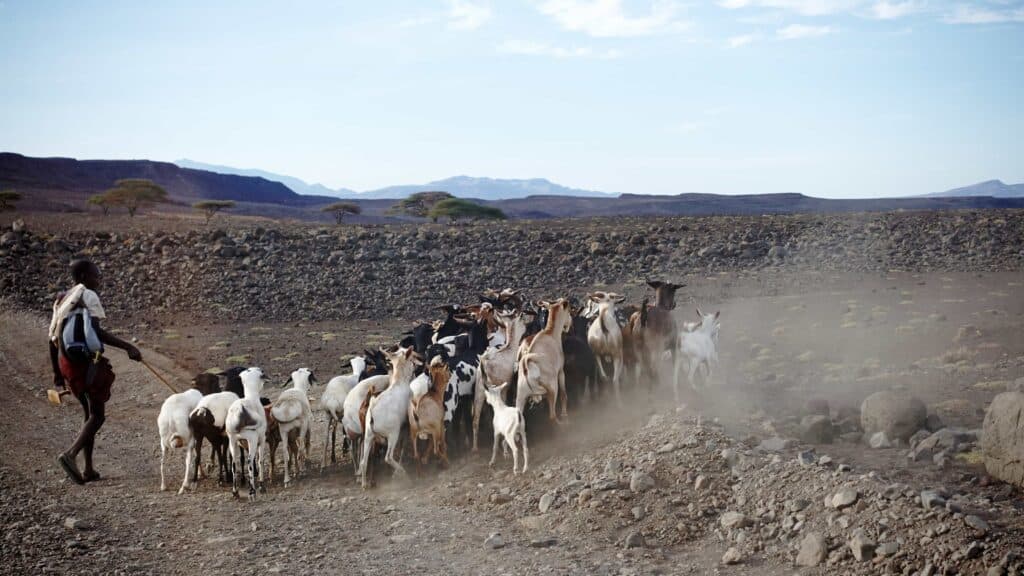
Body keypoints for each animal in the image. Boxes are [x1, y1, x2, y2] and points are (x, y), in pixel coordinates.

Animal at [225, 367, 268, 501]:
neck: (251, 395)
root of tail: (241, 409)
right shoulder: (262, 439)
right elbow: (260, 460)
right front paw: (261, 485)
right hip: (251, 438)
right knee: (250, 461)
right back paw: (252, 492)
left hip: (232, 440)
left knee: (234, 462)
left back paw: (235, 492)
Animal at [360, 346, 421, 488]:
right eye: (412, 357)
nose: (420, 361)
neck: (399, 382)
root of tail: (372, 414)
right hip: (393, 434)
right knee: (388, 457)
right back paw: (405, 476)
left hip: (368, 436)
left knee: (364, 461)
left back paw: (364, 484)